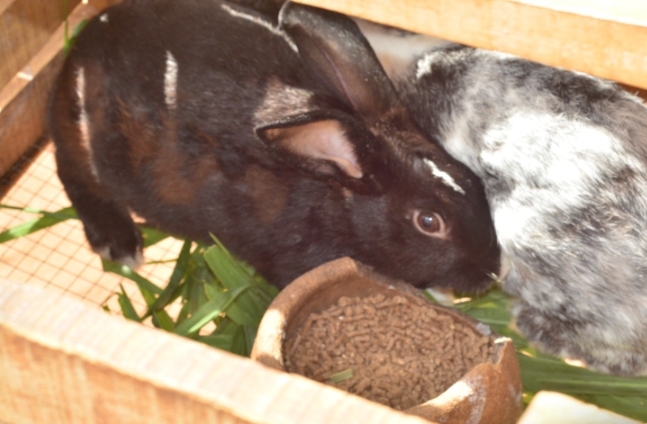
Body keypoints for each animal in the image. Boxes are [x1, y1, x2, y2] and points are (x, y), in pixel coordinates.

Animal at [47, 0, 501, 291]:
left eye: (472, 179)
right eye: (428, 222)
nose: (492, 273)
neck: (340, 197)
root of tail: (77, 56)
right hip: (84, 147)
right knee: (73, 175)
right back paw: (120, 244)